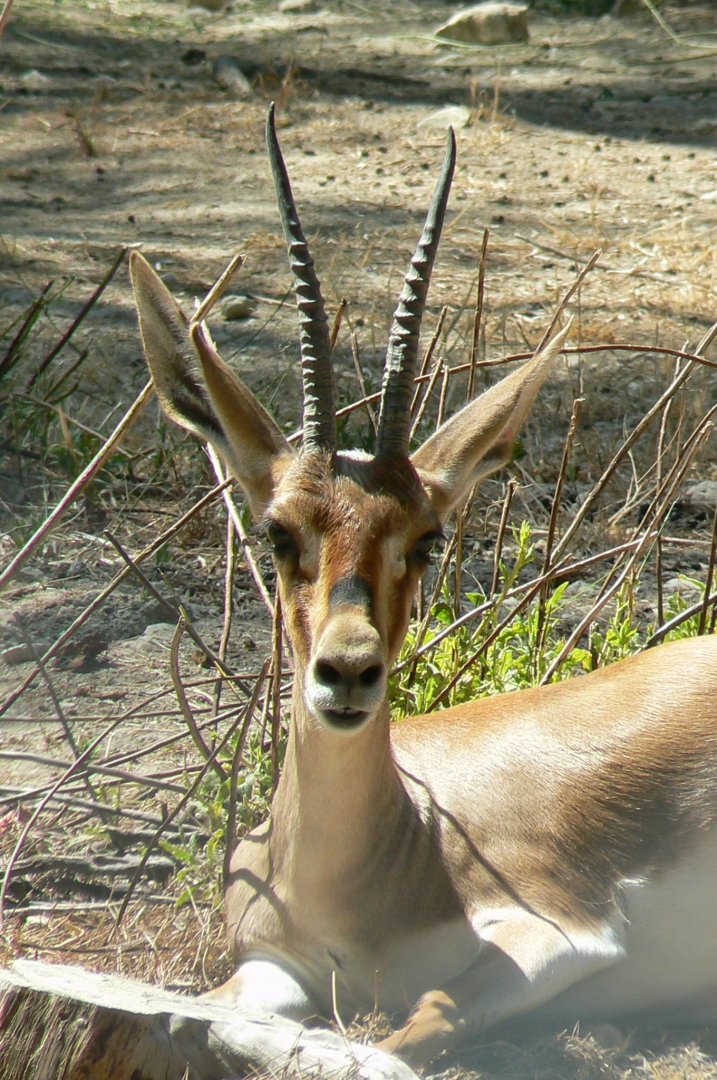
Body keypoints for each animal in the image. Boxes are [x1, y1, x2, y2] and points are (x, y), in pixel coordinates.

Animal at [129, 106, 717, 1069]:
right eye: (277, 530)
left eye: (427, 539)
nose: (348, 671)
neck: (384, 861)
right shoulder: (270, 969)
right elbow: (202, 1010)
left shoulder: (559, 934)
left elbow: (407, 1035)